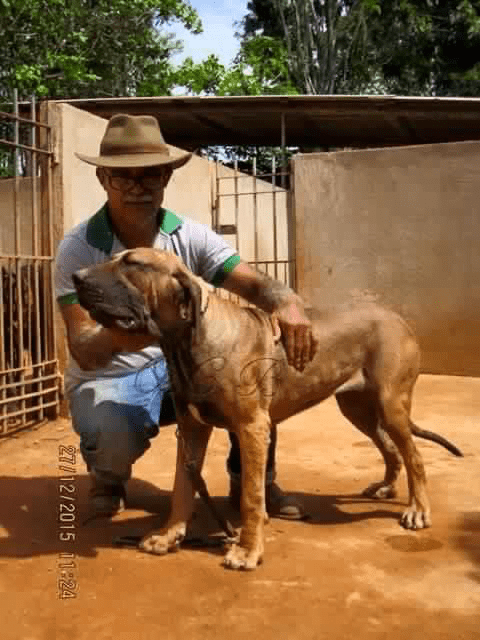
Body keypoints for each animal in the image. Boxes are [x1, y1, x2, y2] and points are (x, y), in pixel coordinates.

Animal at [73, 249, 464, 568]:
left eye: (132, 263)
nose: (76, 276)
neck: (187, 343)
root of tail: (395, 316)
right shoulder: (192, 428)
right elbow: (182, 487)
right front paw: (169, 536)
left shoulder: (252, 427)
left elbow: (251, 495)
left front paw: (247, 550)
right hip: (358, 408)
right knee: (389, 447)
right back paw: (386, 487)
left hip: (390, 403)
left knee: (414, 456)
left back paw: (417, 510)